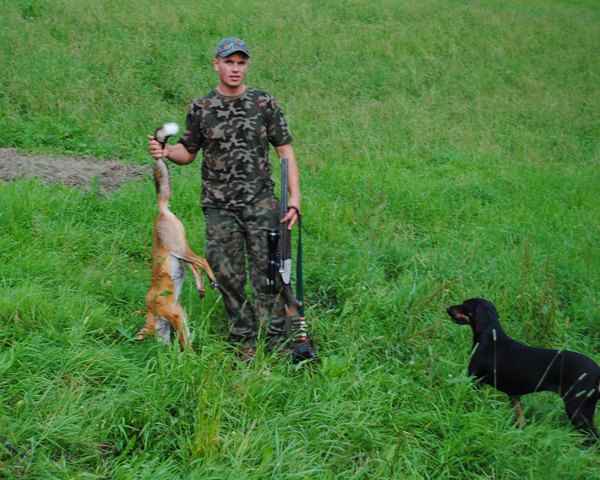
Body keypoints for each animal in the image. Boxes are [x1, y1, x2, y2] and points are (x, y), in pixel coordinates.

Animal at [448, 298, 596, 440]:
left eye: (464, 305)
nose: (448, 308)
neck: (490, 336)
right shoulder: (514, 396)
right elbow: (520, 419)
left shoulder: (475, 380)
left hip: (578, 410)